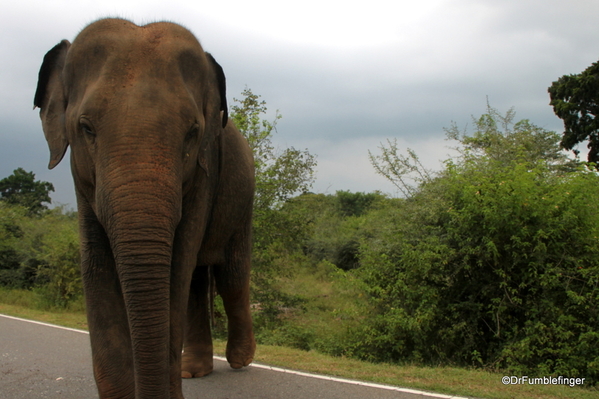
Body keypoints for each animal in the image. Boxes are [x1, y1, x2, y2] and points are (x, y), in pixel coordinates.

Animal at [34, 17, 256, 398]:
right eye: (86, 128)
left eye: (192, 132)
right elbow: (95, 263)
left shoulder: (204, 171)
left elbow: (176, 268)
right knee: (198, 281)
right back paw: (193, 371)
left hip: (245, 199)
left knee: (230, 276)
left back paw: (240, 360)